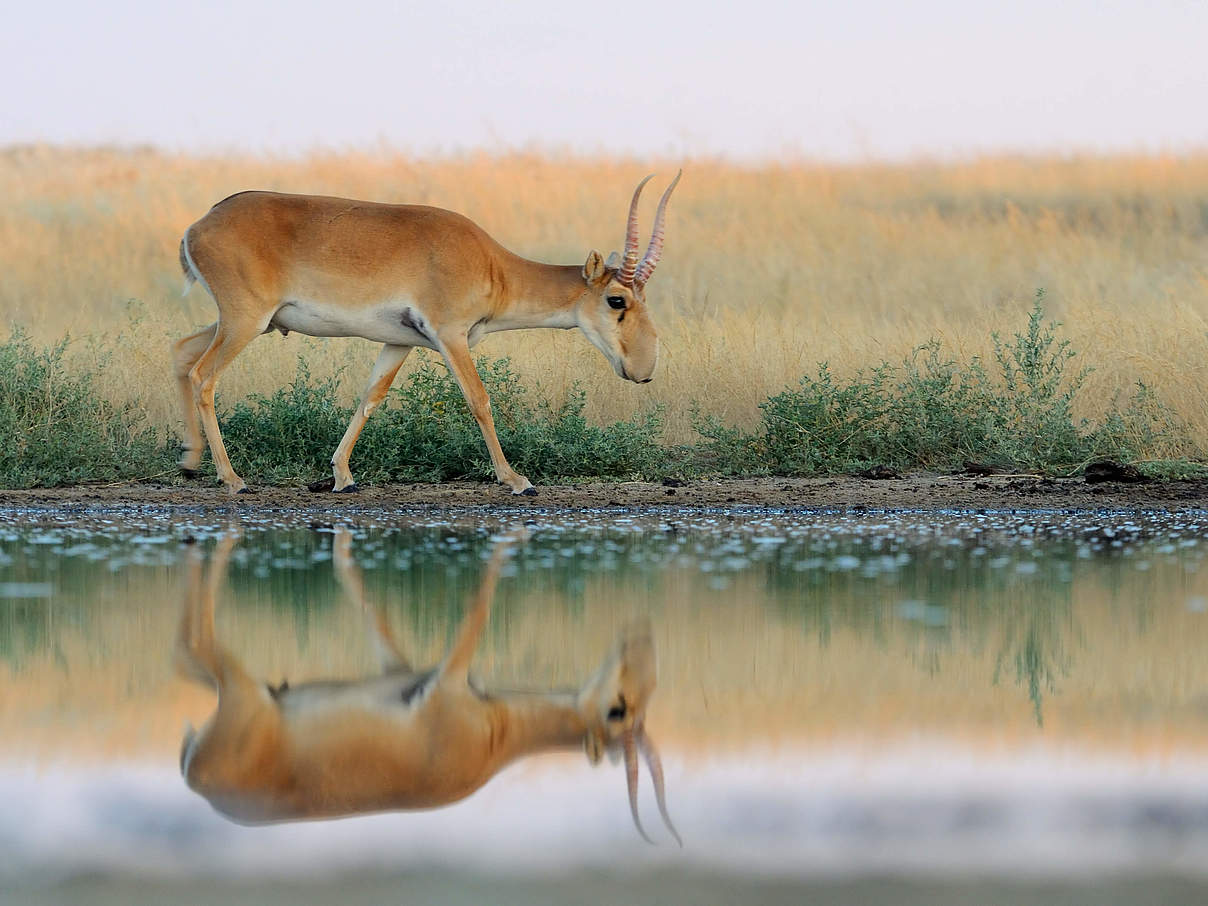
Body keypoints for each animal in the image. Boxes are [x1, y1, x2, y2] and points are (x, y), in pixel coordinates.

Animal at [170, 171, 681, 497]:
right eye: (617, 300)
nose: (644, 369)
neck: (493, 265)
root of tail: (198, 225)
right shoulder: (450, 336)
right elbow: (479, 398)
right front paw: (517, 480)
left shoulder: (399, 342)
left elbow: (370, 398)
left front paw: (342, 476)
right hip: (245, 321)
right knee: (203, 376)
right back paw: (232, 479)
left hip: (243, 322)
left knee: (180, 352)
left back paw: (190, 462)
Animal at [173, 529, 681, 850]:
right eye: (618, 710)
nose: (641, 636)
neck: (494, 735)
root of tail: (196, 777)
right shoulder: (448, 677)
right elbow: (479, 609)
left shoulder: (401, 666)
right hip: (242, 689)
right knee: (192, 644)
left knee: (189, 654)